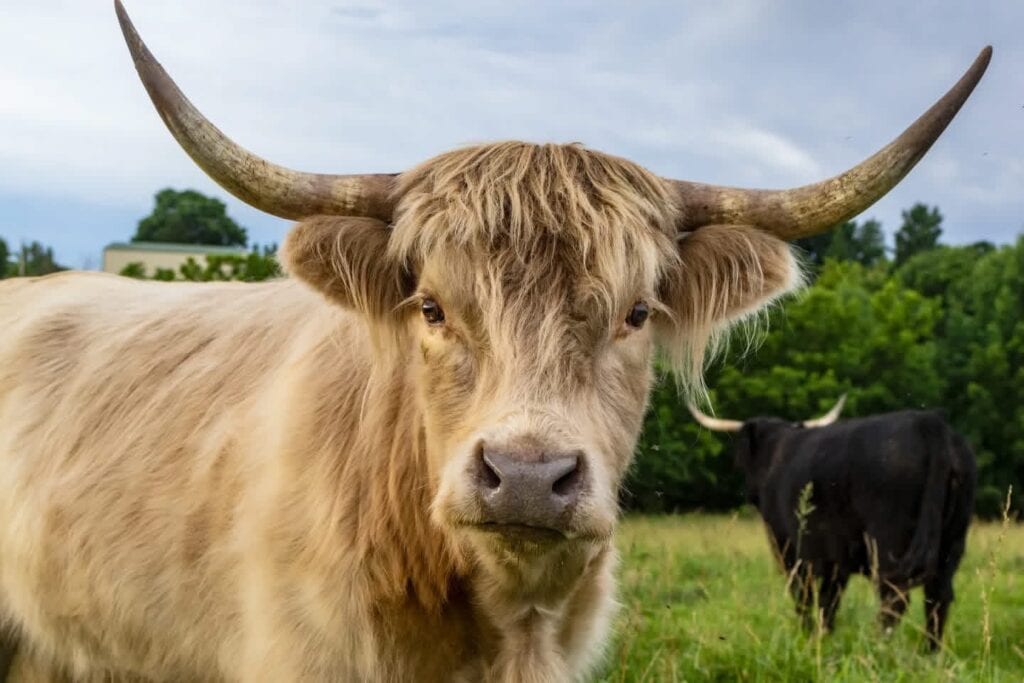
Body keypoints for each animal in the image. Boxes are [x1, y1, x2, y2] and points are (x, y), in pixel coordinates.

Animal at [688, 398, 977, 650]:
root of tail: (928, 423)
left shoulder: (792, 549)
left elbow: (806, 597)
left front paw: (809, 637)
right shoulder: (836, 558)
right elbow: (829, 601)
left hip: (889, 541)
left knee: (894, 597)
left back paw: (878, 647)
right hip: (951, 542)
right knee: (937, 597)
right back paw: (930, 653)